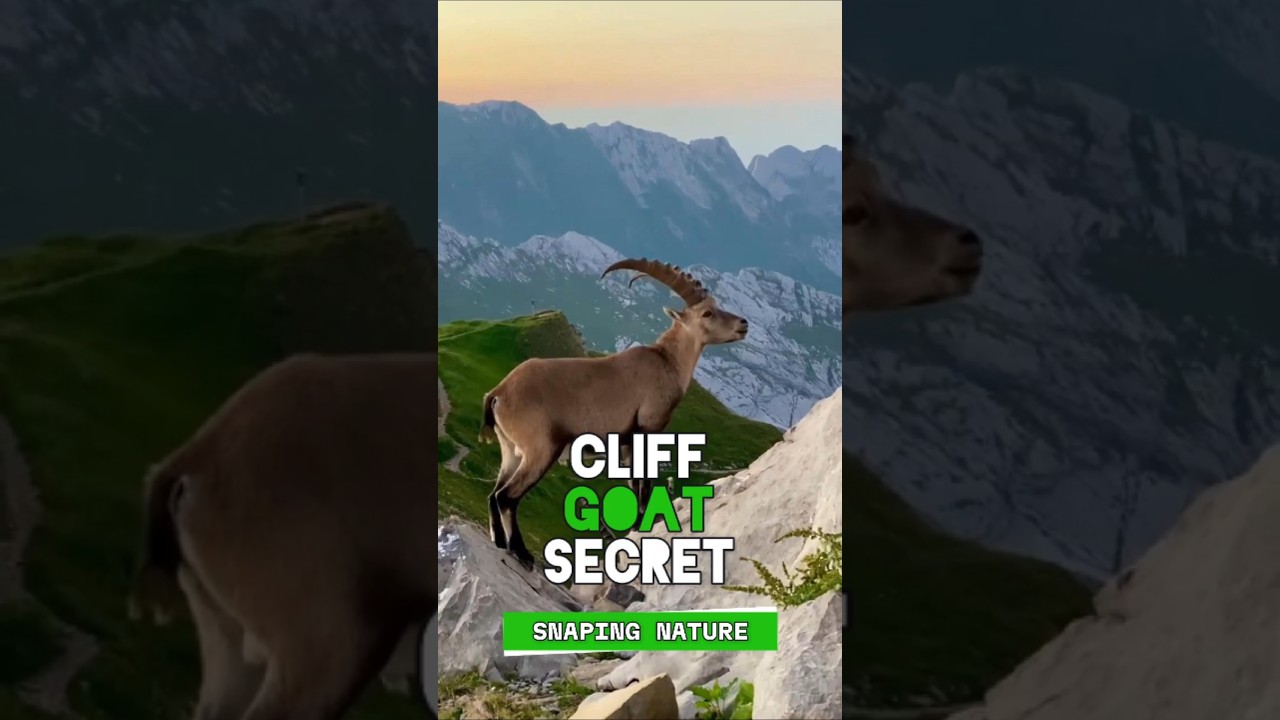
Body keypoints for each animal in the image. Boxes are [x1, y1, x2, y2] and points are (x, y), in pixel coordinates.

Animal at [477, 258, 747, 569]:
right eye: (707, 312)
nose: (743, 324)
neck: (667, 362)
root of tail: (499, 393)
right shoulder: (648, 428)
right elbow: (645, 481)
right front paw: (645, 521)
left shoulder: (627, 440)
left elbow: (633, 482)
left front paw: (637, 525)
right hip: (541, 448)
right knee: (507, 496)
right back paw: (521, 552)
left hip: (510, 448)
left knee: (493, 493)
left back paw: (499, 542)